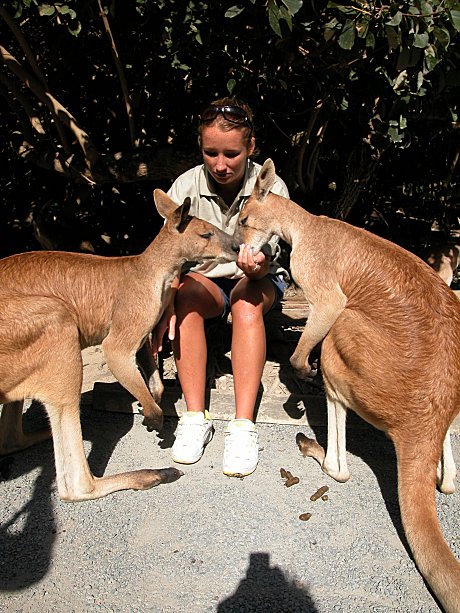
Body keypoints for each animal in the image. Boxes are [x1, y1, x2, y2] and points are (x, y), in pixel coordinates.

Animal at [0, 189, 235, 502]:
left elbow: (154, 378)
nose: (237, 246)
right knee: (76, 486)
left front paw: (152, 405)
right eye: (206, 233)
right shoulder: (126, 325)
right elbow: (116, 353)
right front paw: (154, 417)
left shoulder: (144, 334)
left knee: (11, 441)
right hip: (55, 328)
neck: (154, 271)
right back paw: (156, 475)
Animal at [234, 158, 460, 612]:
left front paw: (301, 374)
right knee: (449, 483)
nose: (238, 250)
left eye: (246, 220)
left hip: (345, 334)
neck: (305, 225)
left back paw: (311, 442)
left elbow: (308, 336)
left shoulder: (325, 292)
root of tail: (423, 423)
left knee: (340, 471)